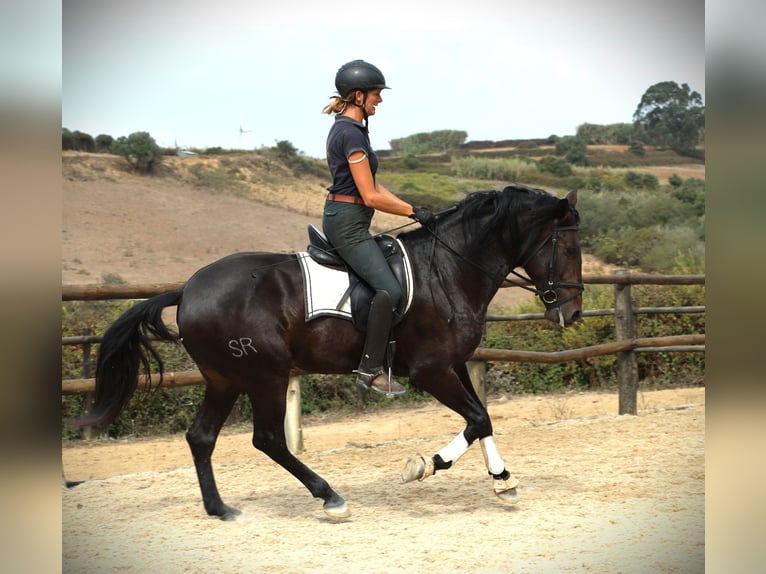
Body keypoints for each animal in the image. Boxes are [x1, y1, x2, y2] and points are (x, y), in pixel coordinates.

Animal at [76, 184, 584, 520]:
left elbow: (484, 418)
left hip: (225, 379)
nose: (573, 312)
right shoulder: (431, 370)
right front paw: (423, 466)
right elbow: (476, 419)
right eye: (568, 247)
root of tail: (188, 288)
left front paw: (504, 482)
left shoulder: (454, 364)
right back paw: (329, 496)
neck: (449, 267)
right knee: (268, 439)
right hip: (266, 374)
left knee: (202, 437)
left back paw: (220, 508)